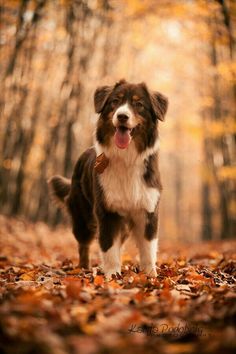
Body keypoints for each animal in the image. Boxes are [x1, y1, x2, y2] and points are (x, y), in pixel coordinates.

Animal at [48, 79, 169, 278]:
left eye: (139, 104)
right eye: (115, 102)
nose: (122, 116)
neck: (126, 158)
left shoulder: (148, 210)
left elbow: (148, 248)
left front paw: (150, 275)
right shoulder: (106, 211)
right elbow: (109, 247)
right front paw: (112, 275)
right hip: (82, 218)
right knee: (83, 245)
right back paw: (84, 268)